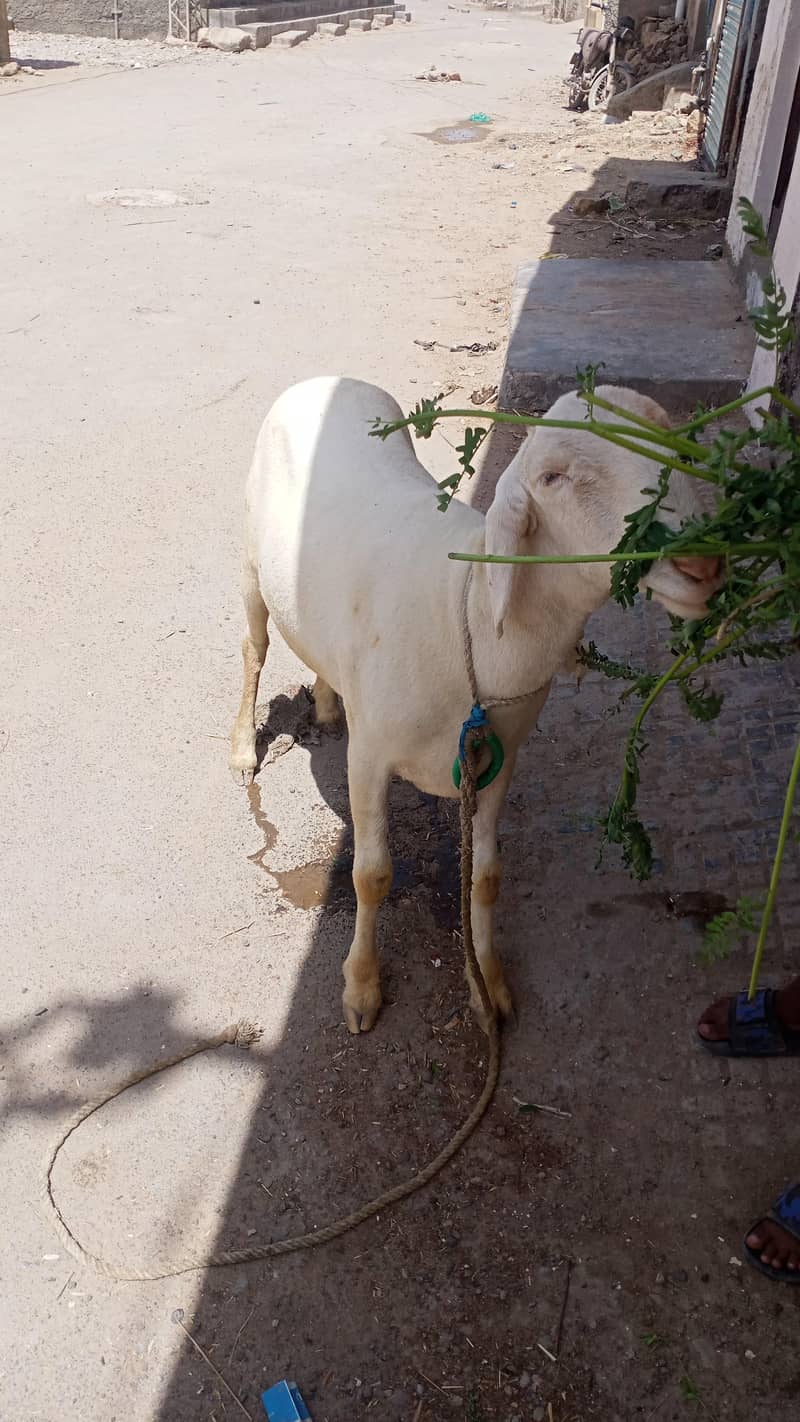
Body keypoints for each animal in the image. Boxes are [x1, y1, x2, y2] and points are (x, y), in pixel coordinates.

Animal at [230, 377, 721, 1033]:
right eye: (552, 478)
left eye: (674, 442)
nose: (703, 561)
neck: (465, 614)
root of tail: (323, 380)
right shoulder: (371, 756)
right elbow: (371, 875)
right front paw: (361, 987)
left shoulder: (498, 760)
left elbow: (484, 879)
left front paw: (487, 985)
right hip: (252, 566)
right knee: (254, 646)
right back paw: (241, 750)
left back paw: (330, 703)